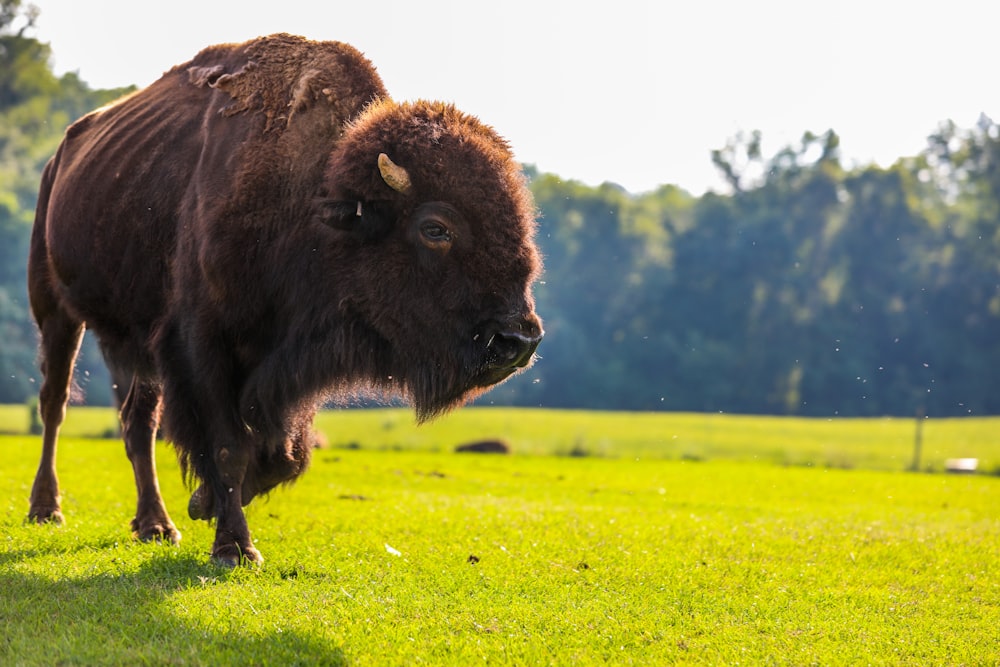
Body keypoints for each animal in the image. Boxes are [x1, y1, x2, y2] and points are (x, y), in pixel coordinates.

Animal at [27, 34, 544, 568]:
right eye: (435, 228)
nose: (519, 340)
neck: (312, 203)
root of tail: (60, 157)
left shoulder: (281, 365)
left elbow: (283, 454)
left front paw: (204, 503)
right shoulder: (201, 346)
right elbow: (229, 448)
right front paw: (234, 546)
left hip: (133, 343)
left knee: (137, 423)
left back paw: (156, 525)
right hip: (54, 309)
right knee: (55, 403)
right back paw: (47, 510)